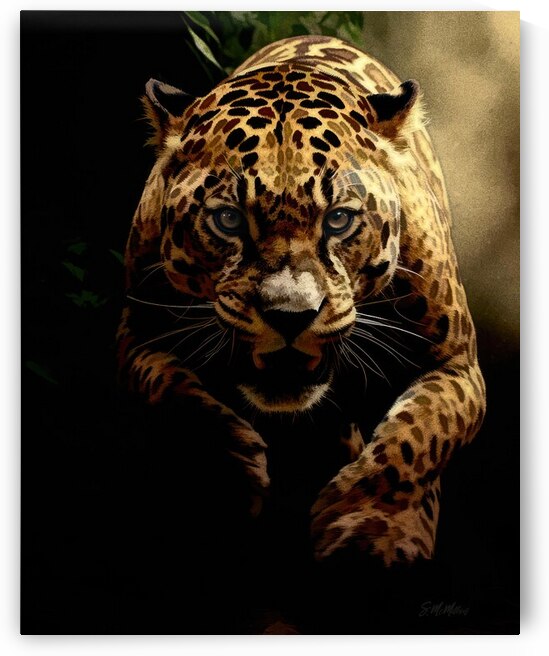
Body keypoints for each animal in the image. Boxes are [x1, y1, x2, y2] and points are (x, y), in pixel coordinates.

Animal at [117, 35, 486, 567]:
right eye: (229, 220)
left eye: (338, 220)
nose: (290, 317)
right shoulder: (138, 337)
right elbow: (176, 396)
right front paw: (235, 477)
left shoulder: (457, 364)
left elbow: (414, 439)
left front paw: (366, 527)